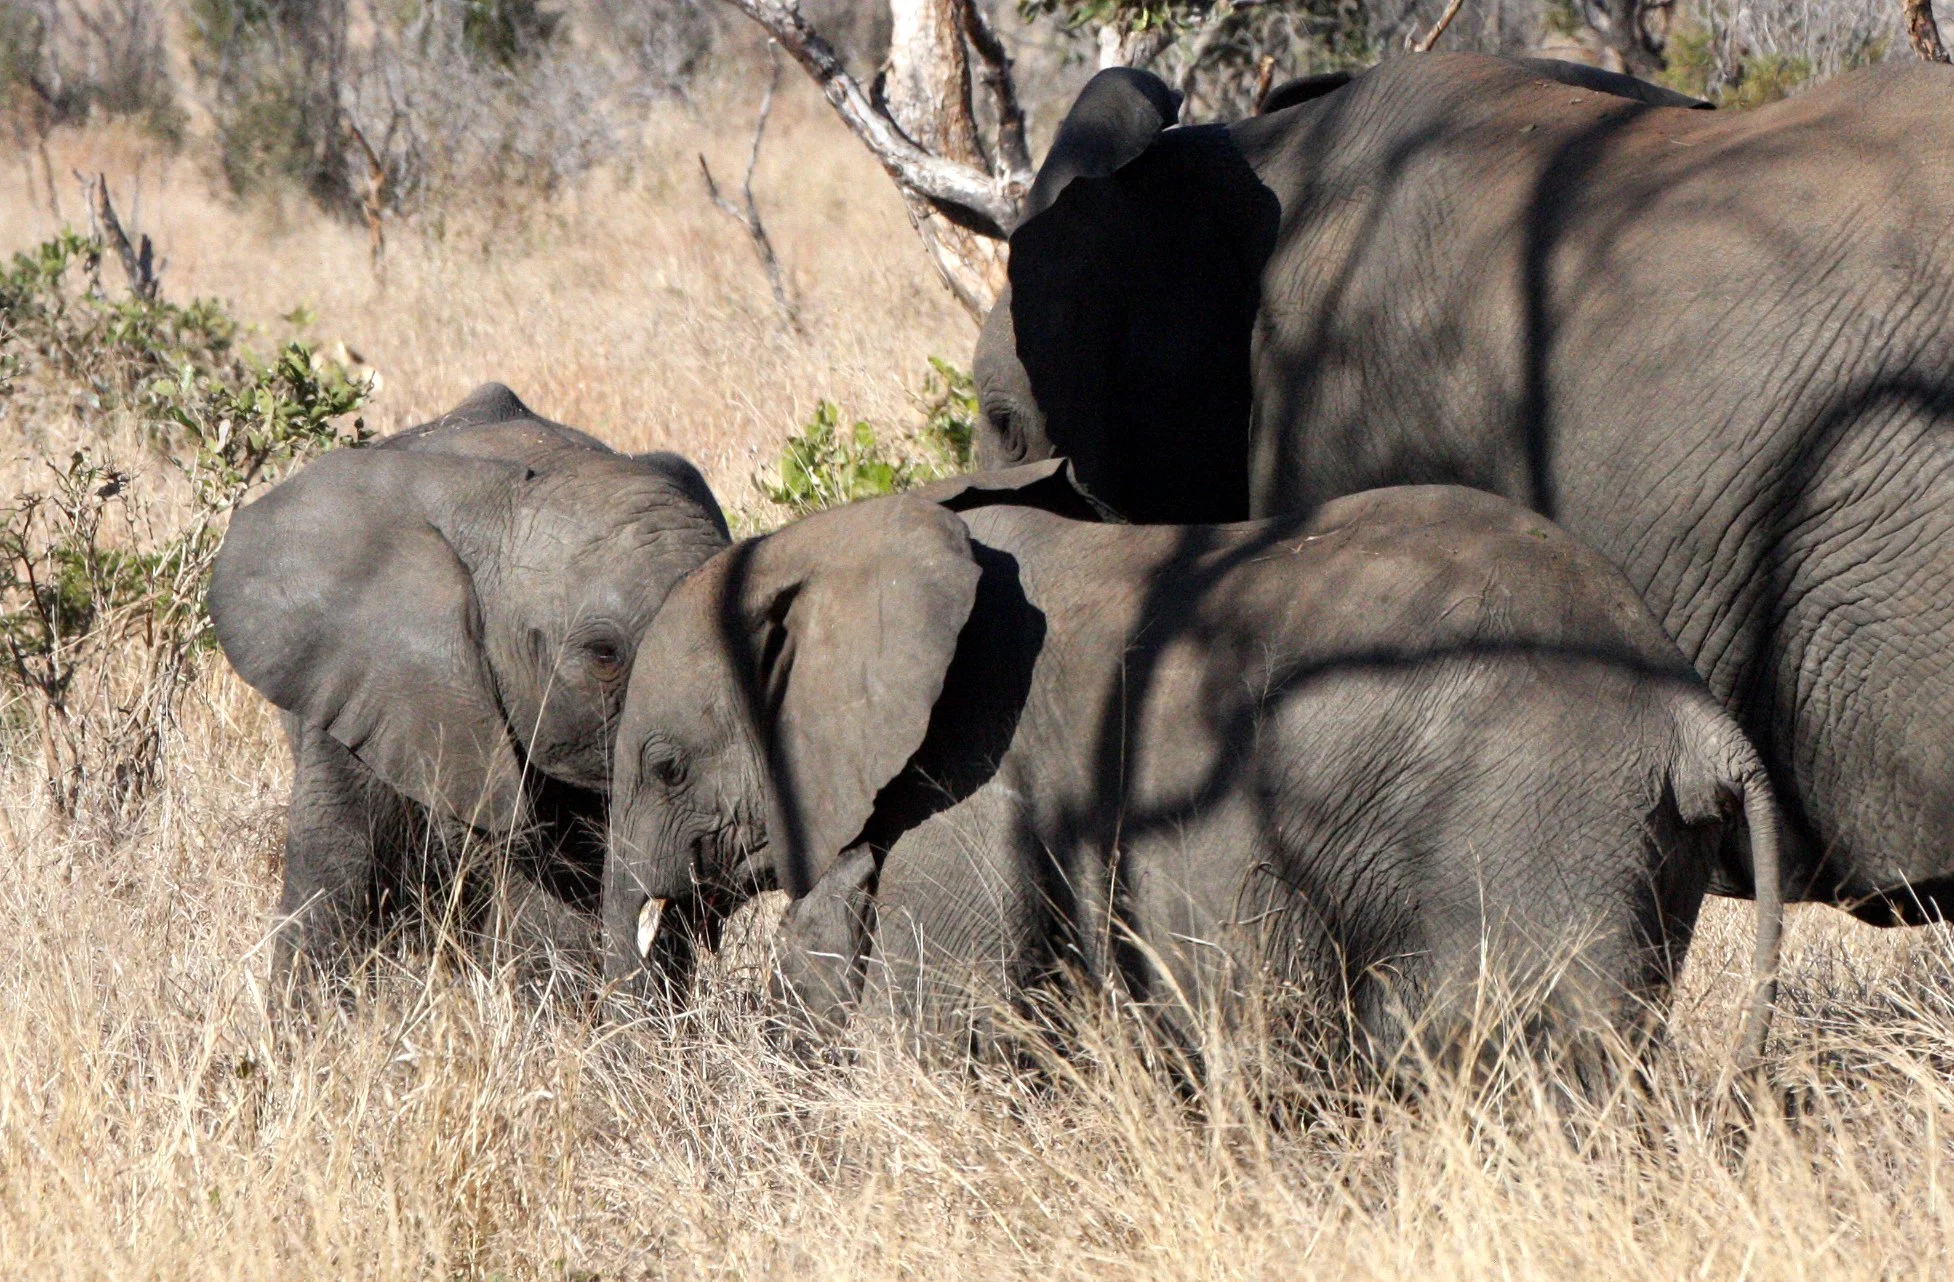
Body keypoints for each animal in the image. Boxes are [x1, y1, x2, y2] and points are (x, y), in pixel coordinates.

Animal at [602, 472, 1782, 1075]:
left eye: (665, 765)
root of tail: (1696, 715)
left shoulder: (970, 772)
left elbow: (943, 1013)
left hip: (1535, 813)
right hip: (1632, 840)